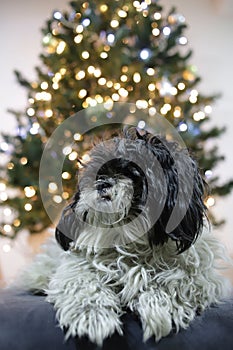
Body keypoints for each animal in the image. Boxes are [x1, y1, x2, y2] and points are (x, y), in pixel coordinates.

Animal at [19, 128, 230, 344]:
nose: (102, 183)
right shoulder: (77, 267)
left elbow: (173, 281)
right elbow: (85, 284)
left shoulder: (203, 279)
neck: (131, 239)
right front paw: (92, 316)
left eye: (131, 173)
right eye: (98, 174)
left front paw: (158, 304)